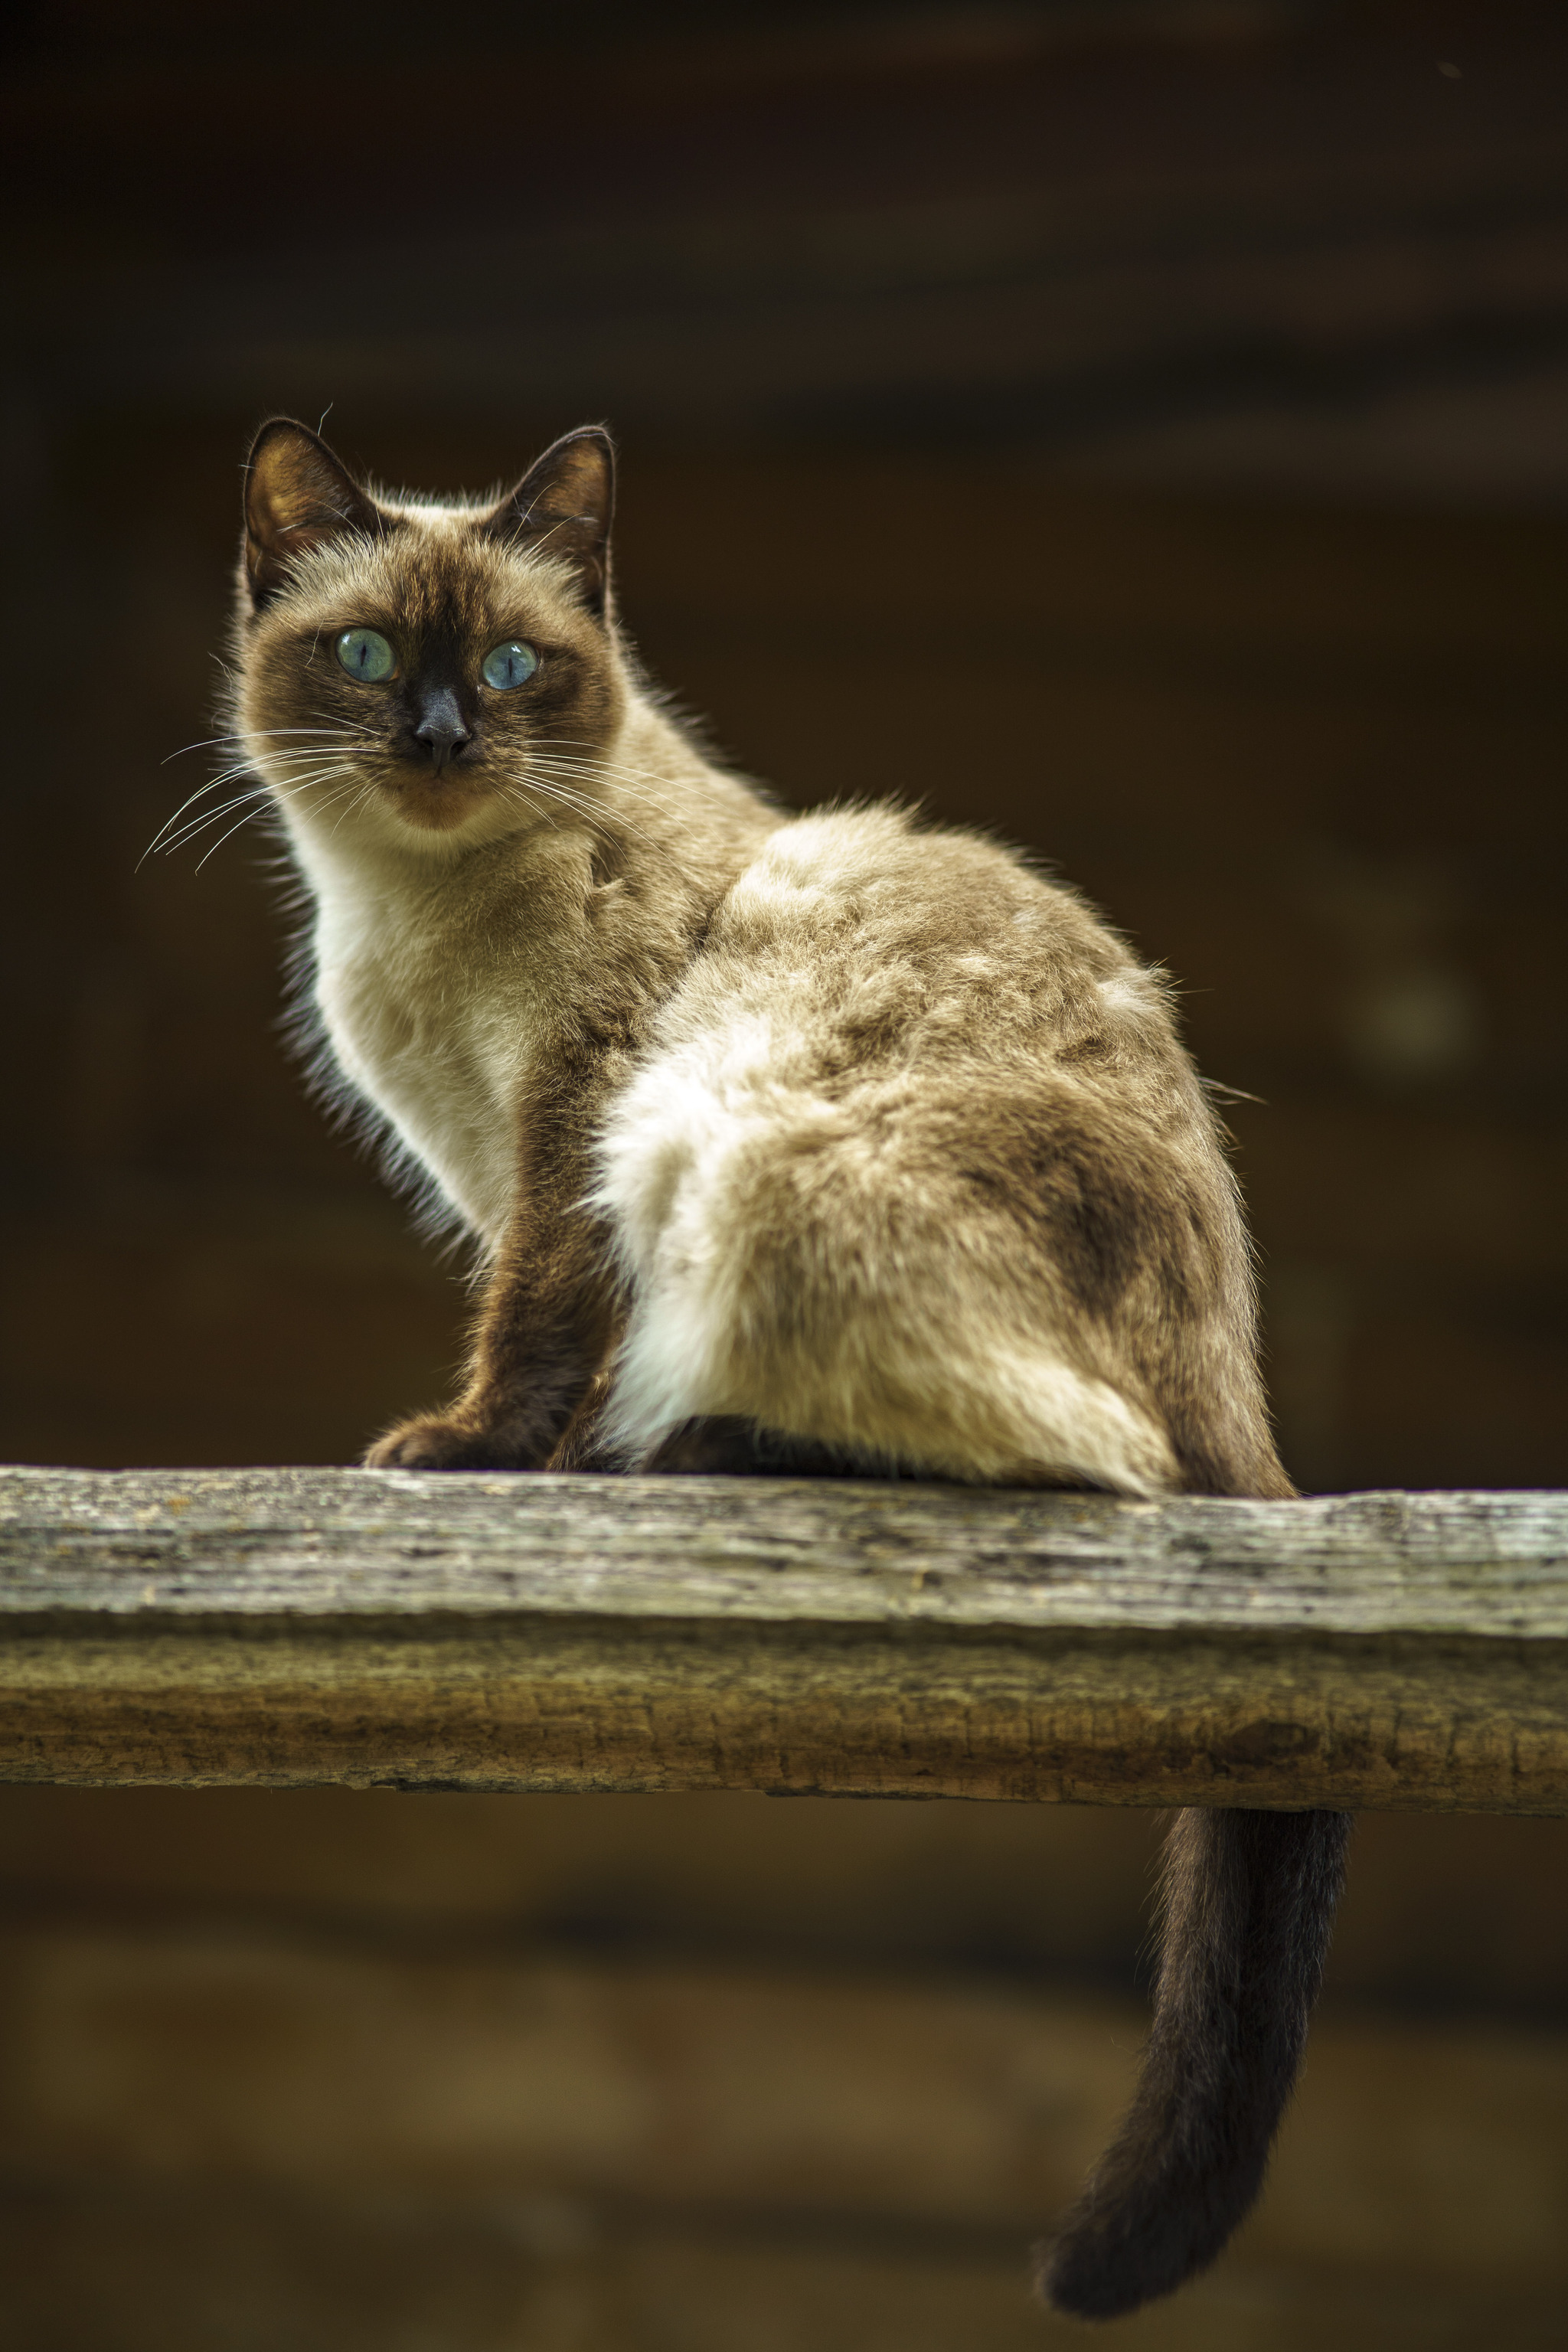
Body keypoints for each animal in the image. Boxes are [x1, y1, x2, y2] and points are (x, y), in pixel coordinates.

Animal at [220, 418, 1354, 2314]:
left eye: (512, 667)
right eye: (368, 655)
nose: (440, 739)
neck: (406, 924)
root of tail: (1241, 1363)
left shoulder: (575, 1127)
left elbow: (534, 1333)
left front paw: (473, 1464)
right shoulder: (506, 1165)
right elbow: (557, 1342)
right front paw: (544, 1467)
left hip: (738, 1153)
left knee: (1102, 1466)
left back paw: (700, 1456)